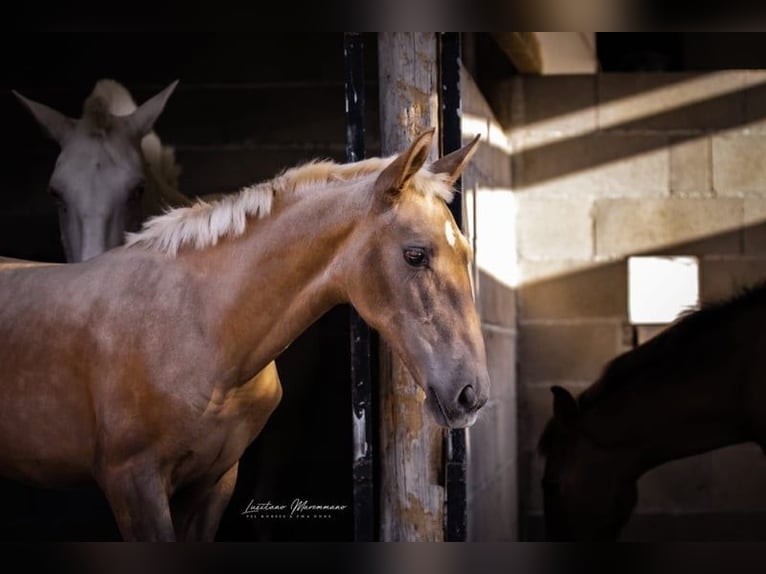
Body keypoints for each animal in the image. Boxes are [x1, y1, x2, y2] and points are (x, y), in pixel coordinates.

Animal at [0, 128, 492, 544]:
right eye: (415, 255)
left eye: (467, 253)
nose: (472, 394)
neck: (200, 328)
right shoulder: (133, 484)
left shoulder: (214, 482)